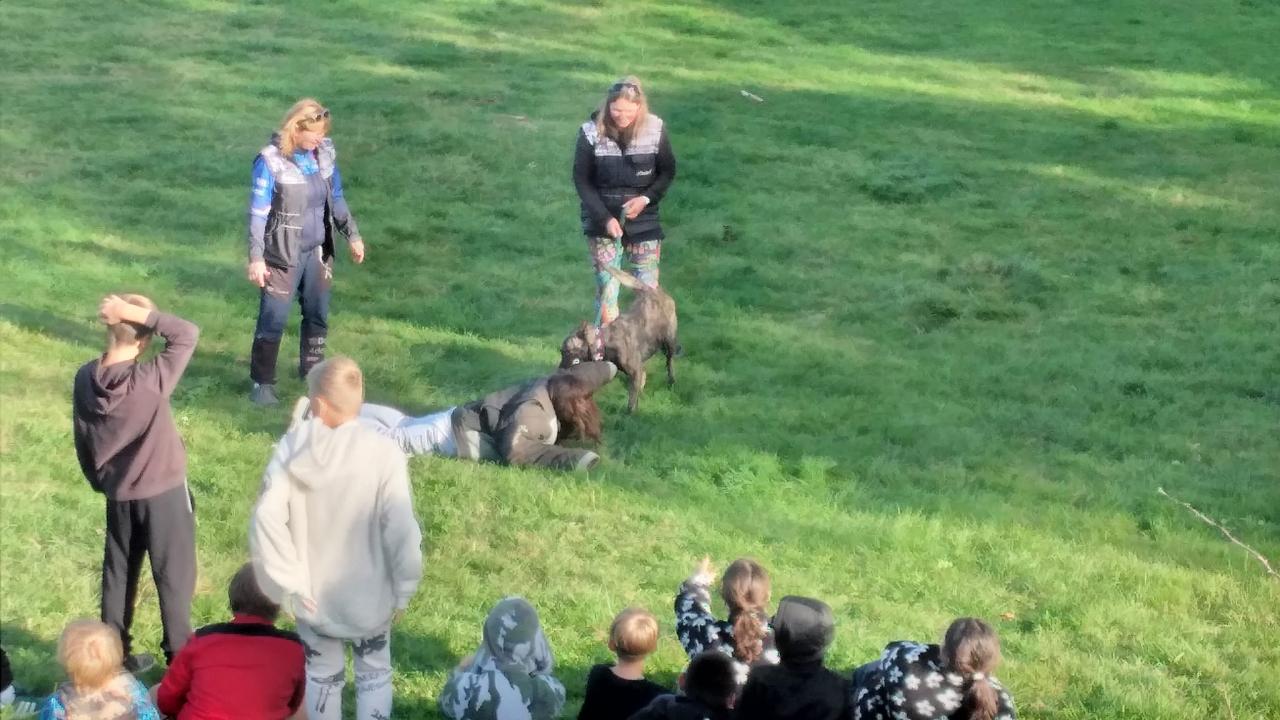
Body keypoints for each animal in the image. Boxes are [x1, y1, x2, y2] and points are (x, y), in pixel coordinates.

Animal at [560, 266, 679, 413]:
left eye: (566, 351)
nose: (559, 369)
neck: (604, 343)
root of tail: (651, 290)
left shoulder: (635, 371)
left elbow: (632, 398)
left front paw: (630, 412)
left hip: (669, 341)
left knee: (669, 362)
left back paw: (671, 381)